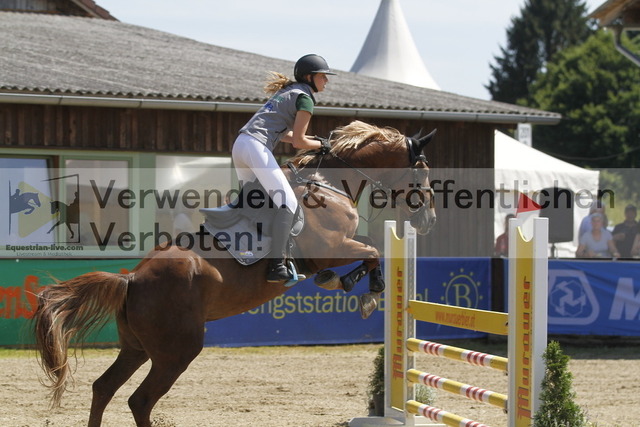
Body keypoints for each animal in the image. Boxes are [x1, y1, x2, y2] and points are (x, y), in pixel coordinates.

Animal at [31, 120, 437, 427]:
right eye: (423, 171)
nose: (428, 220)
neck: (328, 184)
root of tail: (131, 279)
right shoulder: (330, 249)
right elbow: (372, 251)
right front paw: (364, 288)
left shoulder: (340, 245)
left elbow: (369, 246)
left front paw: (351, 283)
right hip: (177, 352)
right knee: (140, 401)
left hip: (137, 347)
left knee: (104, 388)